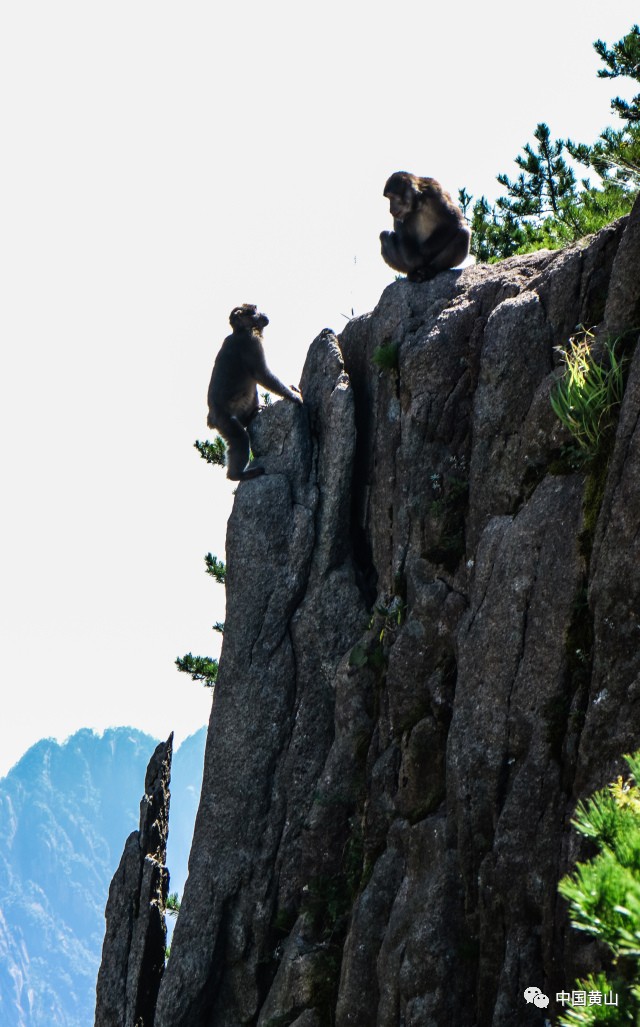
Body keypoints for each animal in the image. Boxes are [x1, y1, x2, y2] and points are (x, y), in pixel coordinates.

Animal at [207, 303, 302, 480]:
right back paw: (237, 475)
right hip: (224, 421)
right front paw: (293, 396)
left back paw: (250, 416)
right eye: (254, 310)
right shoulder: (250, 342)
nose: (263, 313)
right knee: (240, 439)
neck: (242, 330)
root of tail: (211, 418)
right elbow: (262, 374)